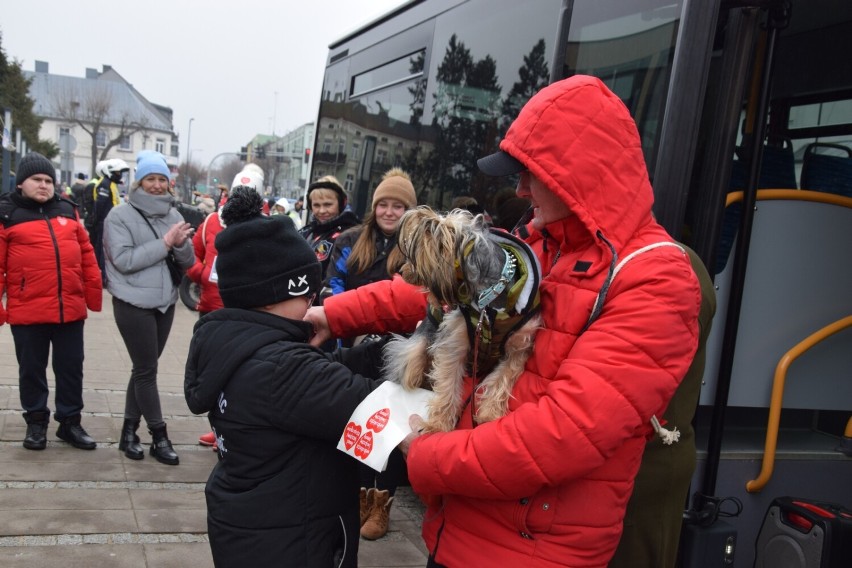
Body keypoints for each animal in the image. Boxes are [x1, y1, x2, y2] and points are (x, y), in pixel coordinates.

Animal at [384, 206, 544, 432]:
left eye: (416, 259)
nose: (401, 271)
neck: (491, 297)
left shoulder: (519, 346)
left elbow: (504, 375)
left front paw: (490, 414)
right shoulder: (454, 341)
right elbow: (448, 383)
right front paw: (438, 425)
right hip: (414, 351)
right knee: (411, 367)